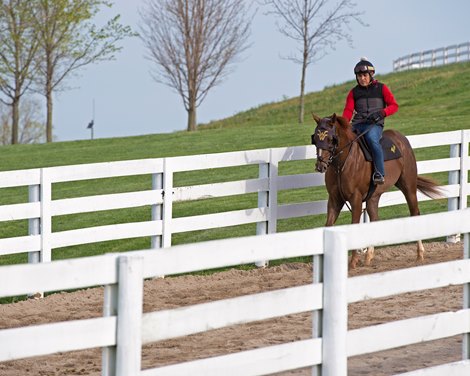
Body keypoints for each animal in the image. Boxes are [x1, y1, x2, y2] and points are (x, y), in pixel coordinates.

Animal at [312, 113, 440, 268]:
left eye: (331, 139)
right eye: (315, 138)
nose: (320, 166)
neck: (341, 165)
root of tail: (401, 139)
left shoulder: (355, 200)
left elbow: (354, 225)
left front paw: (353, 262)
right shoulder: (334, 200)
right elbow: (328, 225)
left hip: (408, 187)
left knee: (415, 213)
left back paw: (420, 254)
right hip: (374, 197)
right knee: (374, 219)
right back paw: (369, 256)